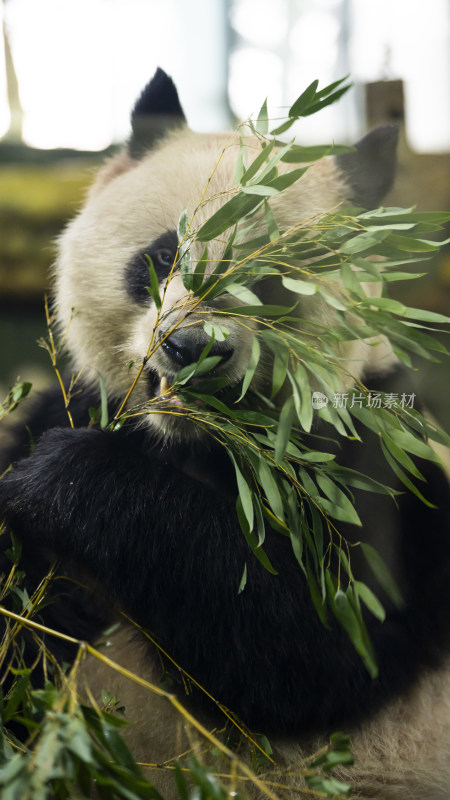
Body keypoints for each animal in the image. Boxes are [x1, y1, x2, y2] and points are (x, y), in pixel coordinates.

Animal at [0, 69, 448, 800]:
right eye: (162, 255)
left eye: (273, 282)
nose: (193, 347)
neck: (191, 444)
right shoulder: (72, 405)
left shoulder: (380, 465)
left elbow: (310, 641)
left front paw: (67, 479)